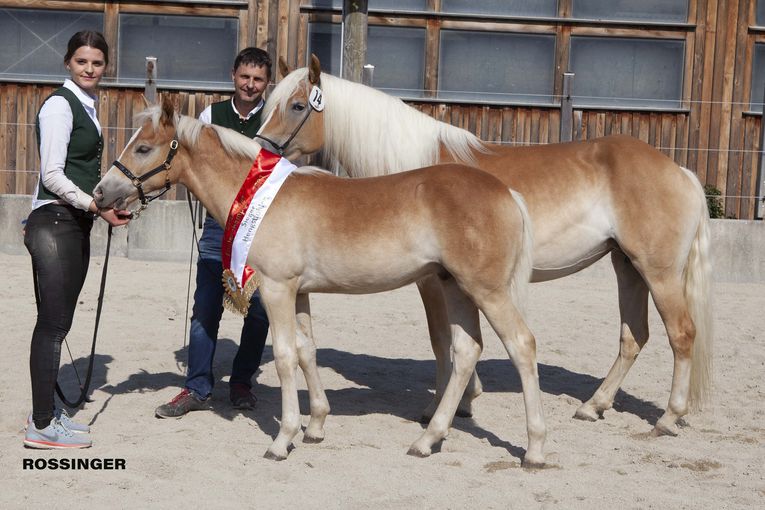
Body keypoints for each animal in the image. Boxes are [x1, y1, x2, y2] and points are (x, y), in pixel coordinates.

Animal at [94, 96, 548, 466]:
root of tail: (505, 192)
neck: (262, 194)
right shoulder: (300, 293)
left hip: (486, 290)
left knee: (522, 345)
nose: (101, 194)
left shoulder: (277, 288)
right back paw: (427, 439)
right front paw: (314, 427)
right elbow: (305, 351)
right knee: (466, 351)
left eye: (144, 148)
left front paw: (283, 439)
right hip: (454, 286)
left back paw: (534, 450)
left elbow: (283, 357)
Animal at [255, 56, 712, 438]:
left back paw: (668, 417)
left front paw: (446, 405)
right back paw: (593, 405)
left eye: (297, 106)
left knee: (682, 333)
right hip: (627, 266)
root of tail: (680, 170)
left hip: (658, 272)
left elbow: (441, 338)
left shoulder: (432, 281)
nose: (262, 151)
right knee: (633, 337)